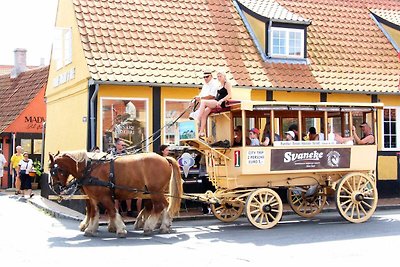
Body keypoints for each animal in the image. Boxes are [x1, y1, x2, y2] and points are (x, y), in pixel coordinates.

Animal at [48, 152, 183, 238]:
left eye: (52, 170)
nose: (52, 186)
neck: (89, 169)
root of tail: (164, 158)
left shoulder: (104, 196)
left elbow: (112, 211)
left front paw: (120, 229)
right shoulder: (93, 197)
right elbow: (94, 212)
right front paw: (90, 229)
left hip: (155, 191)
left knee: (160, 207)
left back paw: (150, 227)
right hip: (155, 192)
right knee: (164, 206)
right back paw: (163, 226)